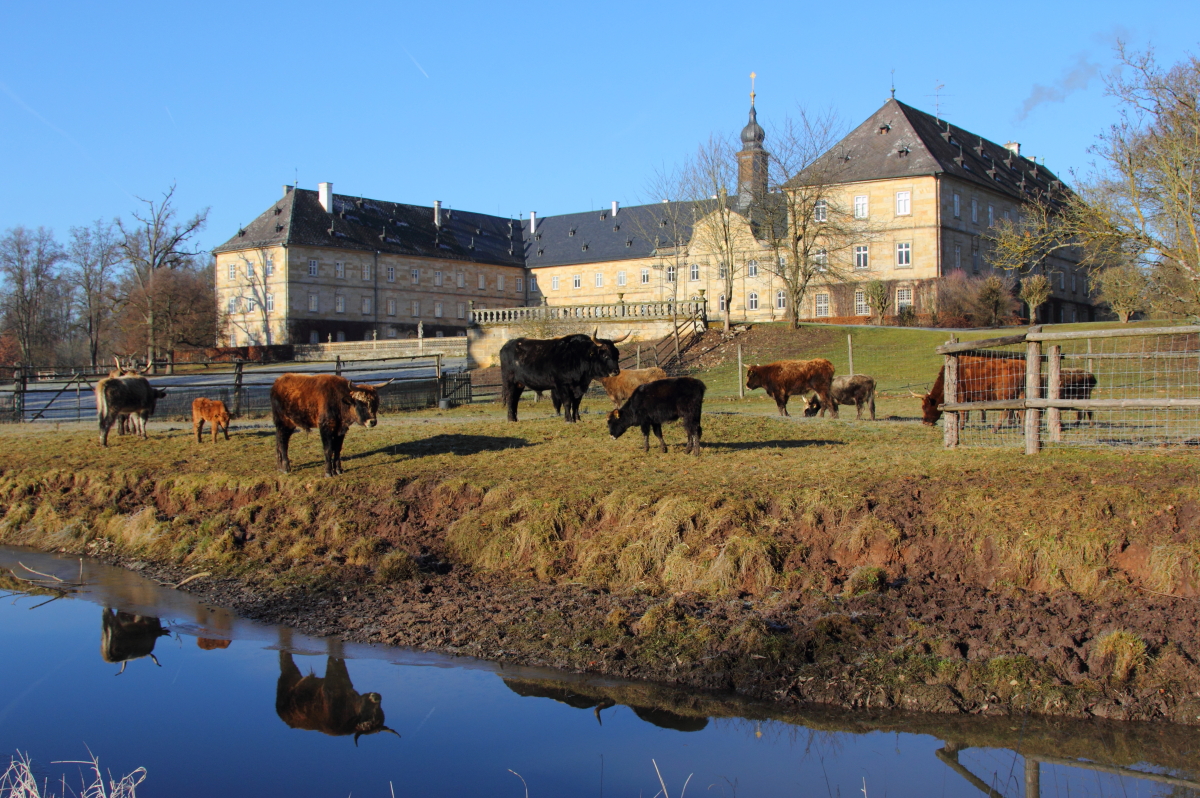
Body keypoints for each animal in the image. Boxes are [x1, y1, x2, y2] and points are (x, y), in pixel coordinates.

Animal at [499, 326, 628, 420]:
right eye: (605, 355)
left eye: (617, 354)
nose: (616, 371)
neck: (579, 356)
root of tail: (508, 344)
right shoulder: (562, 385)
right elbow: (567, 402)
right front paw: (569, 419)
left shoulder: (580, 387)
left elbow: (576, 403)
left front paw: (577, 419)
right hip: (509, 381)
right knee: (510, 398)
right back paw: (511, 419)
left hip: (519, 384)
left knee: (515, 399)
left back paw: (515, 418)